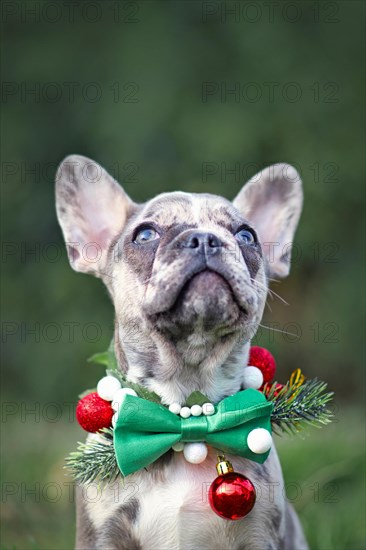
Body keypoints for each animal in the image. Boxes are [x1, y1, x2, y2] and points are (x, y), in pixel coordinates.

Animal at [55, 156, 308, 550]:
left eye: (246, 236)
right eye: (145, 235)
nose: (204, 239)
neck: (184, 412)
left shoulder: (261, 535)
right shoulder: (101, 536)